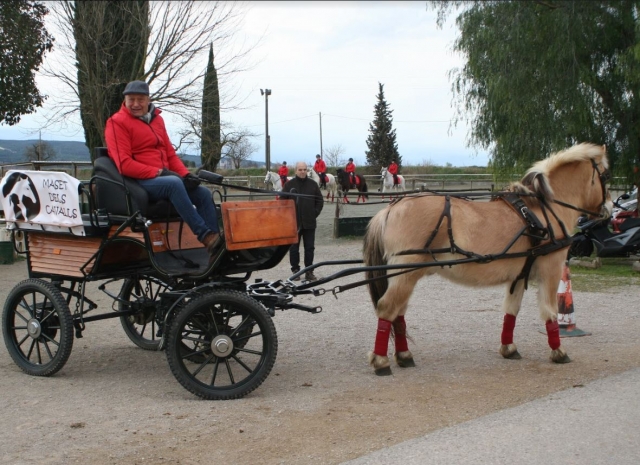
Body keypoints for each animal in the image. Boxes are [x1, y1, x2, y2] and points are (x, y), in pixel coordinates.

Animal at [362, 143, 611, 376]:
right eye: (606, 176)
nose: (609, 208)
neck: (544, 210)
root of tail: (390, 209)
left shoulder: (519, 275)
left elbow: (511, 311)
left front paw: (509, 348)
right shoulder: (551, 271)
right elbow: (549, 312)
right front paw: (559, 351)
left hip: (405, 275)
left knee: (398, 313)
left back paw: (404, 355)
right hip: (406, 274)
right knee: (387, 308)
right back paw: (381, 361)